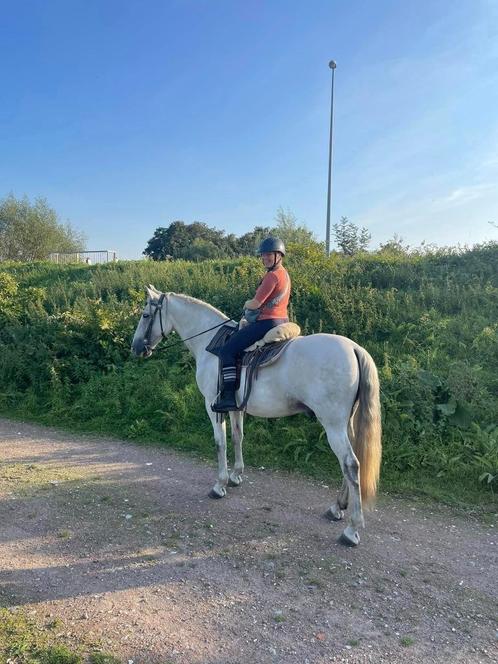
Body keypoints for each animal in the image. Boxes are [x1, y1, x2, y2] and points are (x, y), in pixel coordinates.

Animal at [131, 286, 382, 544]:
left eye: (145, 315)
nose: (136, 347)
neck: (209, 344)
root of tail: (354, 348)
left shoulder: (212, 405)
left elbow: (220, 443)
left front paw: (219, 485)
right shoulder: (234, 407)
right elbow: (237, 437)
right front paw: (235, 476)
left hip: (333, 425)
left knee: (350, 463)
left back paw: (352, 529)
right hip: (345, 424)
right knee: (351, 462)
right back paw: (337, 508)